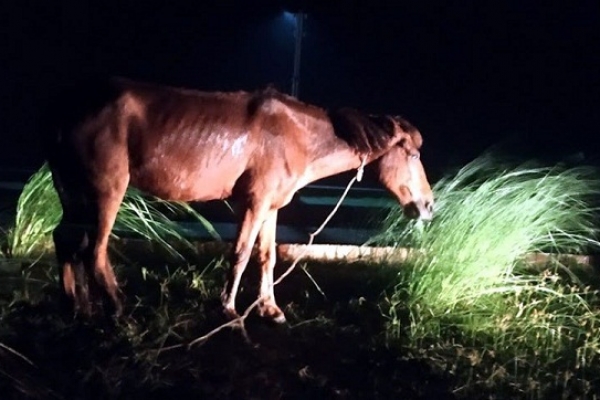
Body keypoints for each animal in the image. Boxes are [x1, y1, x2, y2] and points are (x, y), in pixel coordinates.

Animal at [43, 76, 436, 324]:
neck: (296, 136)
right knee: (94, 250)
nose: (429, 206)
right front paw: (229, 309)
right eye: (414, 154)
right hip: (107, 191)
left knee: (67, 240)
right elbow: (241, 253)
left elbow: (267, 256)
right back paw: (115, 307)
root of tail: (65, 107)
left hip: (75, 195)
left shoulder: (272, 208)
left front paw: (268, 308)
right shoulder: (254, 203)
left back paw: (77, 305)